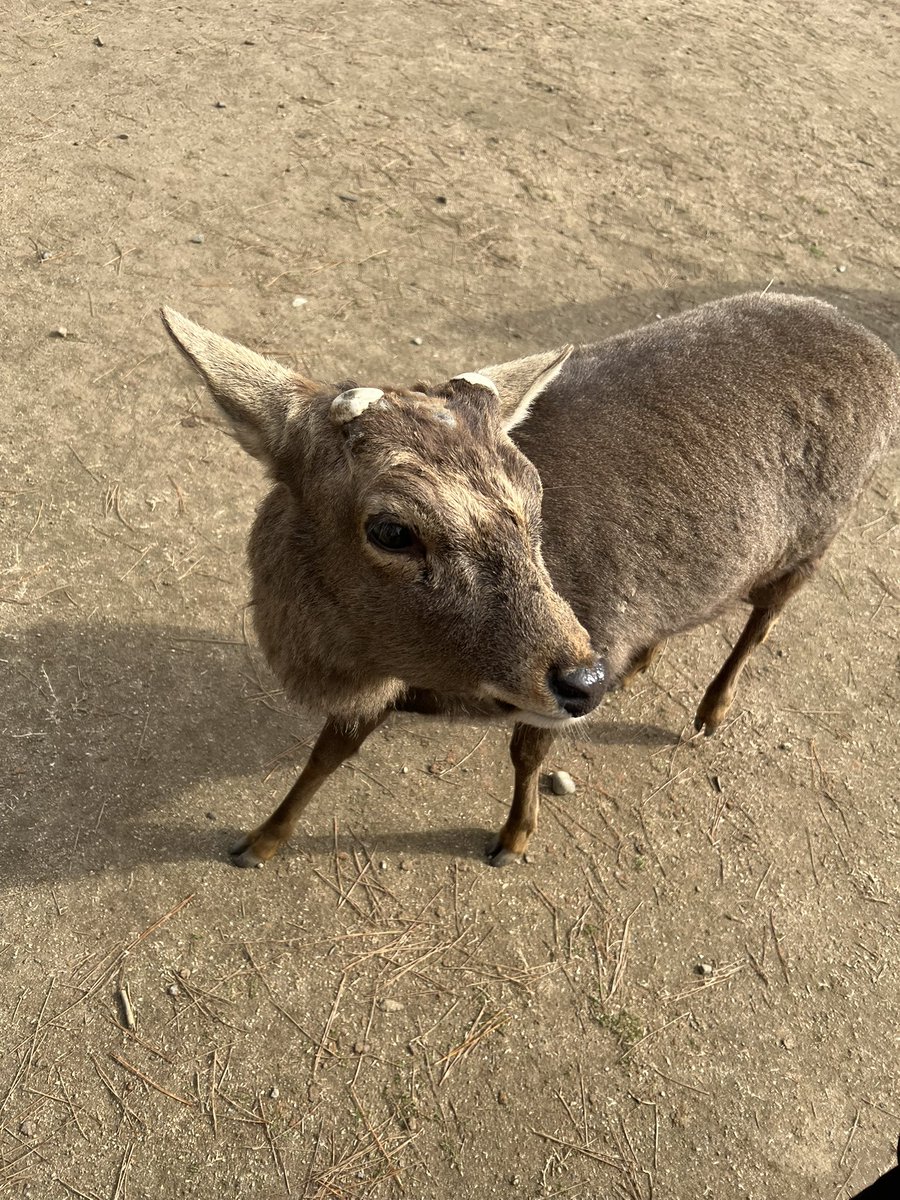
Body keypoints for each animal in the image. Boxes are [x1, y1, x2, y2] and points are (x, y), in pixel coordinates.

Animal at [161, 292, 899, 870]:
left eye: (534, 492)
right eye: (392, 529)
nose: (585, 678)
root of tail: (873, 343)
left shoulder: (579, 643)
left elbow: (527, 752)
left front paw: (513, 839)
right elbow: (328, 752)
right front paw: (258, 842)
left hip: (817, 539)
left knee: (764, 618)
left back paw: (708, 712)